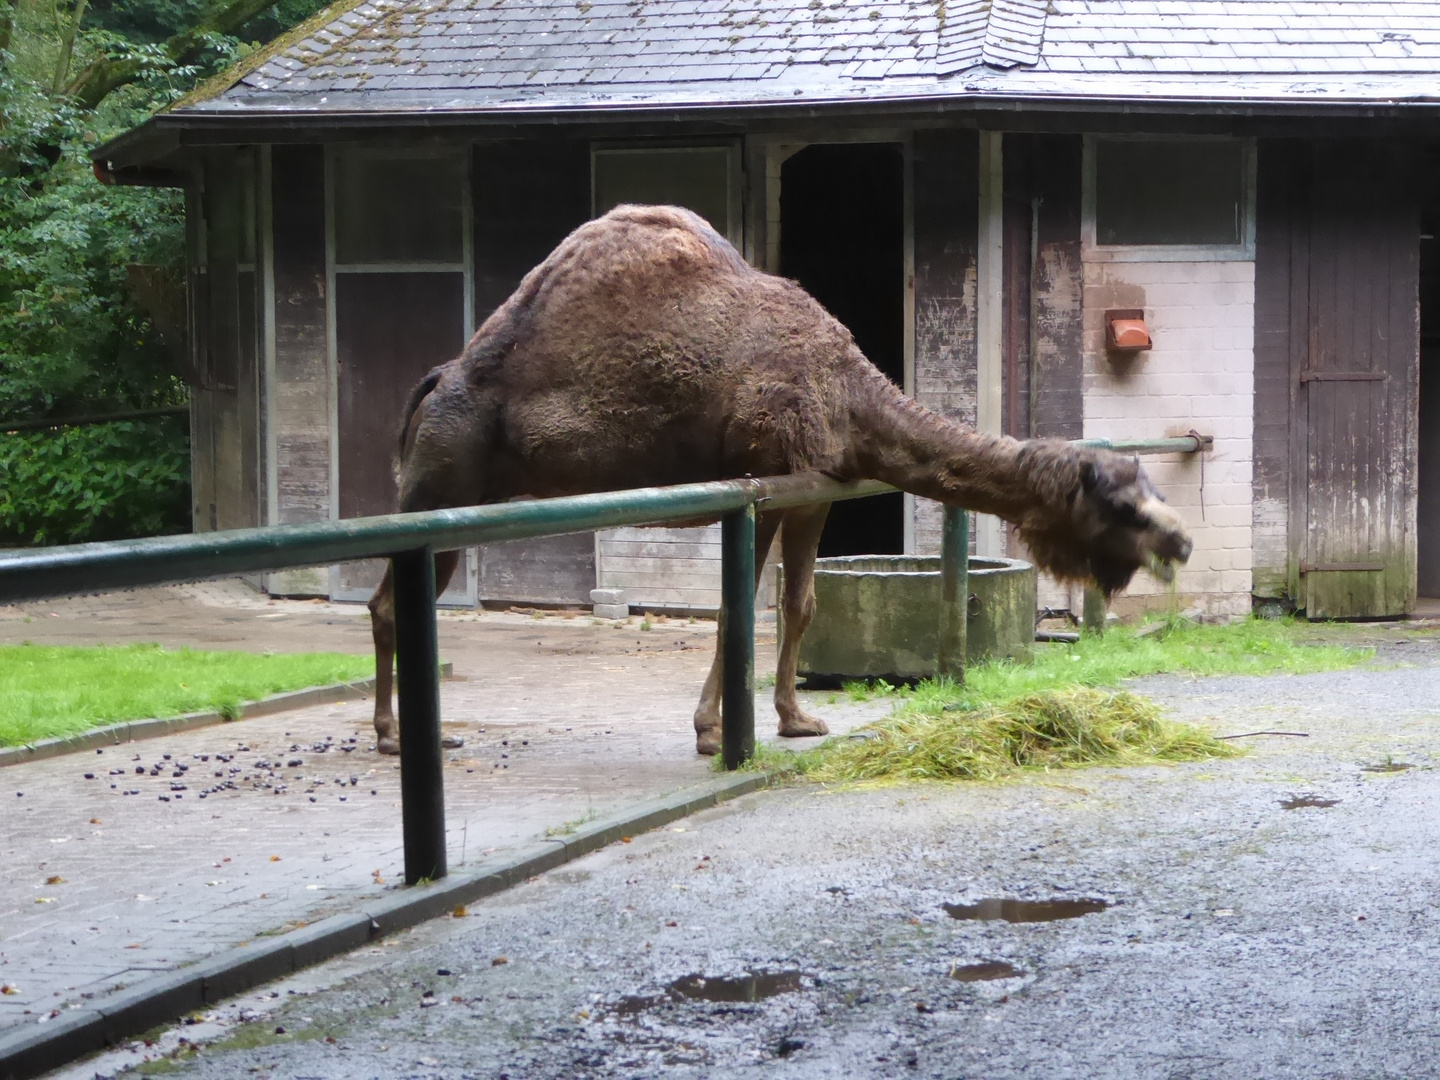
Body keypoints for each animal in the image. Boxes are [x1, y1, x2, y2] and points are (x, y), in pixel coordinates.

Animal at [371, 207, 1192, 754]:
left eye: (1149, 486)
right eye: (1122, 503)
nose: (1180, 542)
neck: (848, 394)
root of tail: (436, 382)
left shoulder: (817, 494)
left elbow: (800, 607)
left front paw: (797, 720)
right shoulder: (760, 479)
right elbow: (739, 609)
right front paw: (711, 733)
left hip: (456, 492)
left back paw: (394, 732)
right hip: (442, 481)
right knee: (392, 600)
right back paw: (398, 737)